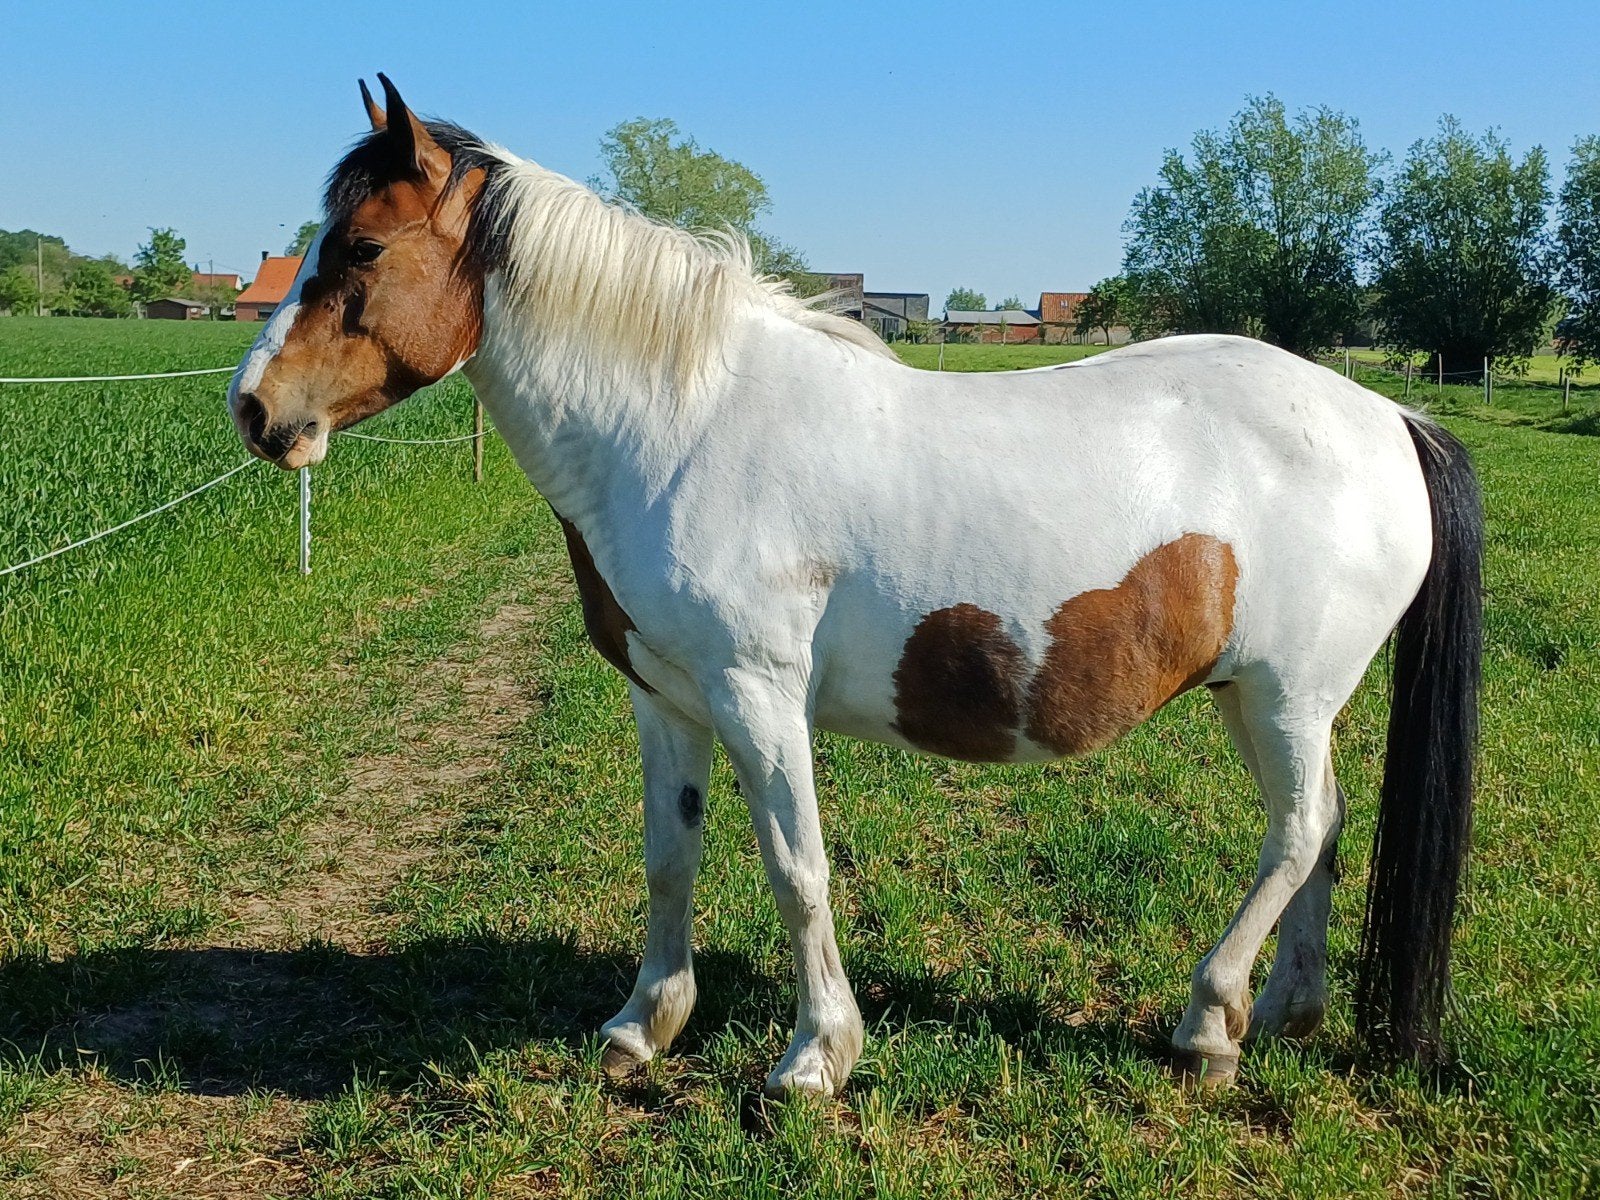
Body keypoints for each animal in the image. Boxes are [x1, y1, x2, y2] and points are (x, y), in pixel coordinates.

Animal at [228, 76, 1482, 1099]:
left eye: (362, 250)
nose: (254, 407)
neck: (682, 424)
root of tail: (1390, 416)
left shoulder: (757, 695)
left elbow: (797, 869)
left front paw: (815, 1058)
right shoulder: (666, 697)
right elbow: (669, 855)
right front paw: (643, 1028)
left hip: (1284, 695)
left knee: (1296, 831)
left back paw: (1208, 1022)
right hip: (1262, 699)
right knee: (1320, 831)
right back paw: (1285, 1012)